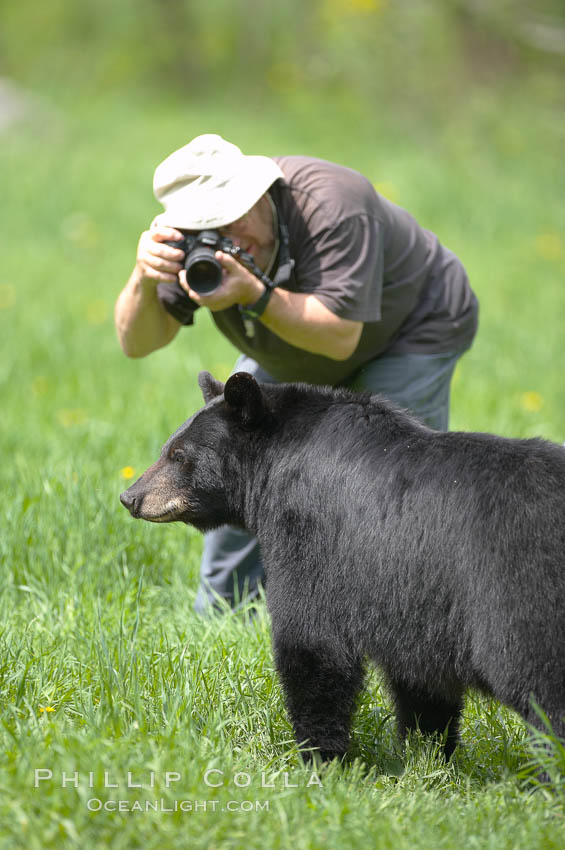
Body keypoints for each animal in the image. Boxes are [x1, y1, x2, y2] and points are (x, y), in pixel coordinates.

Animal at [120, 372, 564, 760]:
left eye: (179, 456)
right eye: (167, 447)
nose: (130, 496)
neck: (277, 461)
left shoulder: (314, 539)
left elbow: (311, 639)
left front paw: (319, 758)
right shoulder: (411, 601)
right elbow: (419, 680)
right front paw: (427, 755)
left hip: (519, 593)